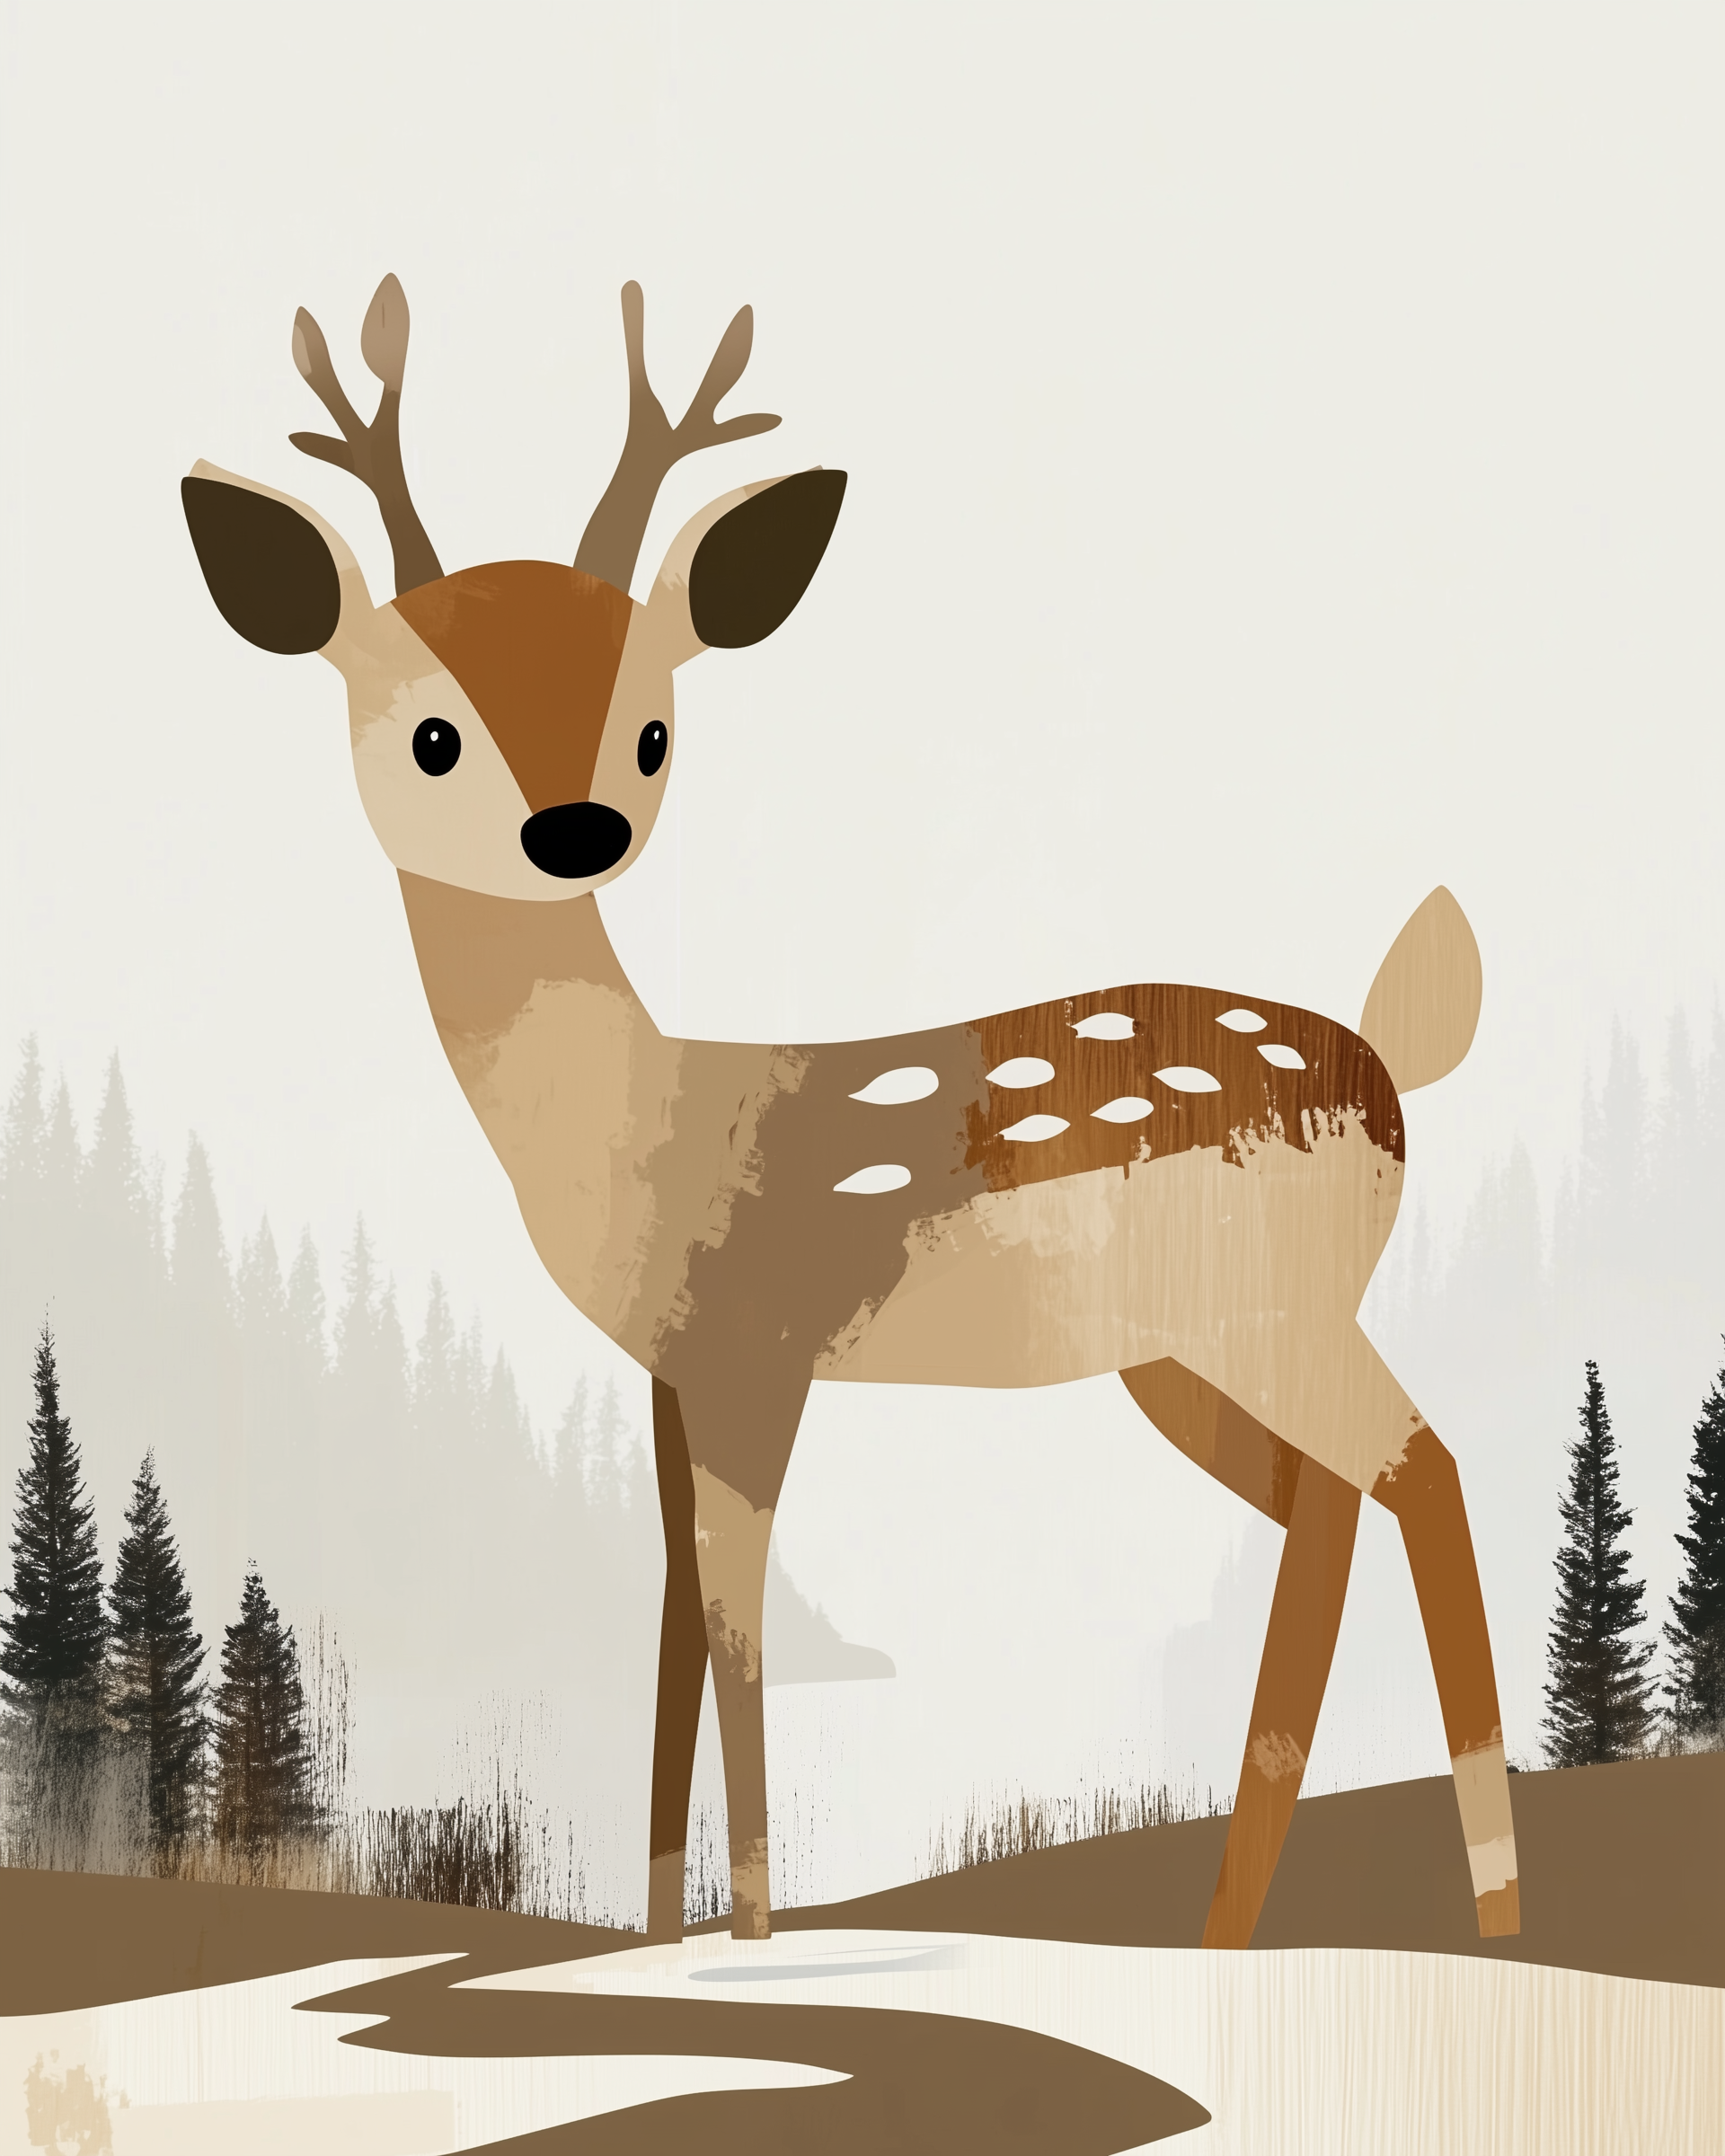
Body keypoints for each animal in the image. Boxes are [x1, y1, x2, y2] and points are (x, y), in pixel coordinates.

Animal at [180, 274, 1520, 1951]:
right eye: (434, 735)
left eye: (652, 730)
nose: (577, 828)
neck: (646, 1137)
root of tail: (1397, 1063)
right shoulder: (670, 1372)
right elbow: (675, 1624)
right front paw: (666, 1935)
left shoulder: (759, 1349)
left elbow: (742, 1621)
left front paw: (753, 1936)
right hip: (1185, 1350)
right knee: (1328, 1507)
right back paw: (1236, 1918)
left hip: (1270, 1315)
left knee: (1426, 1469)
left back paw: (1486, 1907)